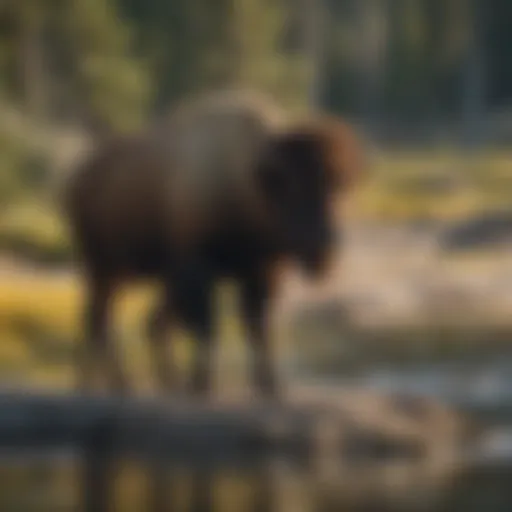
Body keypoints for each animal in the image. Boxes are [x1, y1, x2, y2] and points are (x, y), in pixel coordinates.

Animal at [64, 89, 366, 400]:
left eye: (339, 188)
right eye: (292, 188)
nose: (324, 251)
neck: (246, 182)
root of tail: (79, 177)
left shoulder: (261, 273)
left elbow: (258, 329)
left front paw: (270, 387)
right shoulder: (197, 269)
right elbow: (208, 329)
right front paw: (202, 385)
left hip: (124, 275)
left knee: (143, 323)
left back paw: (153, 384)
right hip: (103, 267)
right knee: (100, 321)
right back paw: (118, 385)